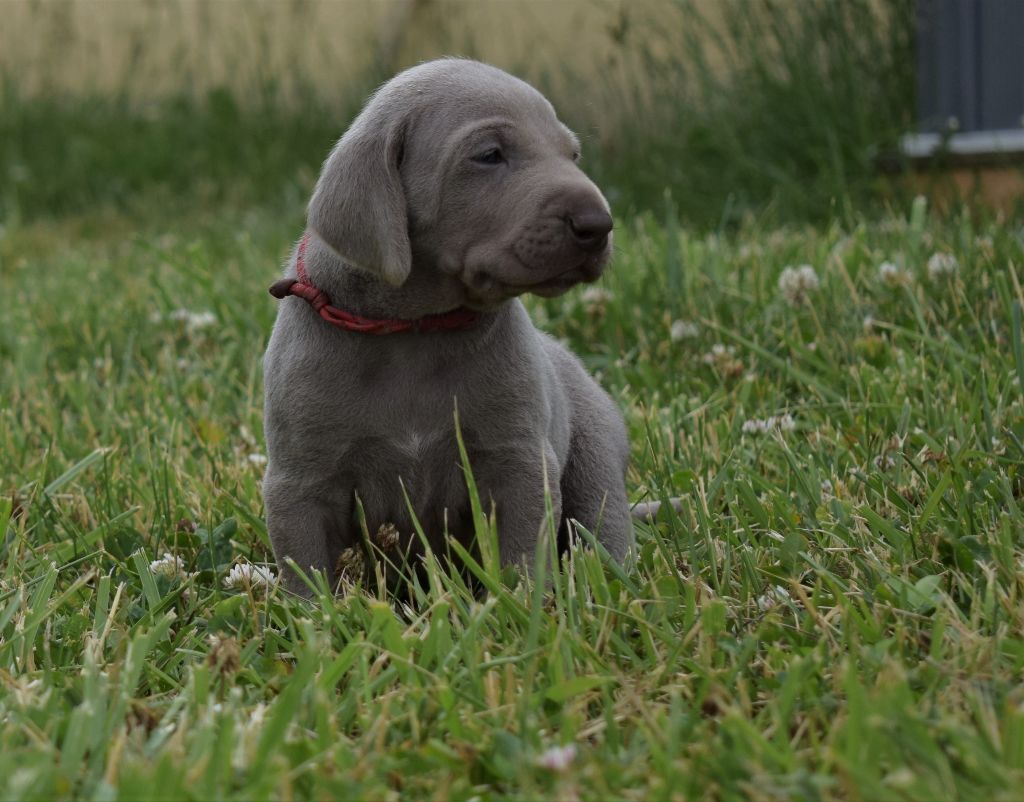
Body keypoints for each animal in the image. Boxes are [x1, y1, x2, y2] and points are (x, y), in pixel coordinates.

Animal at [263, 58, 633, 594]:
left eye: (572, 154)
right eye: (489, 155)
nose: (598, 224)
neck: (414, 331)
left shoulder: (518, 461)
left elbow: (523, 554)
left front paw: (522, 606)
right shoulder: (300, 484)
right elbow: (306, 573)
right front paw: (312, 615)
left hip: (595, 457)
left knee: (604, 529)